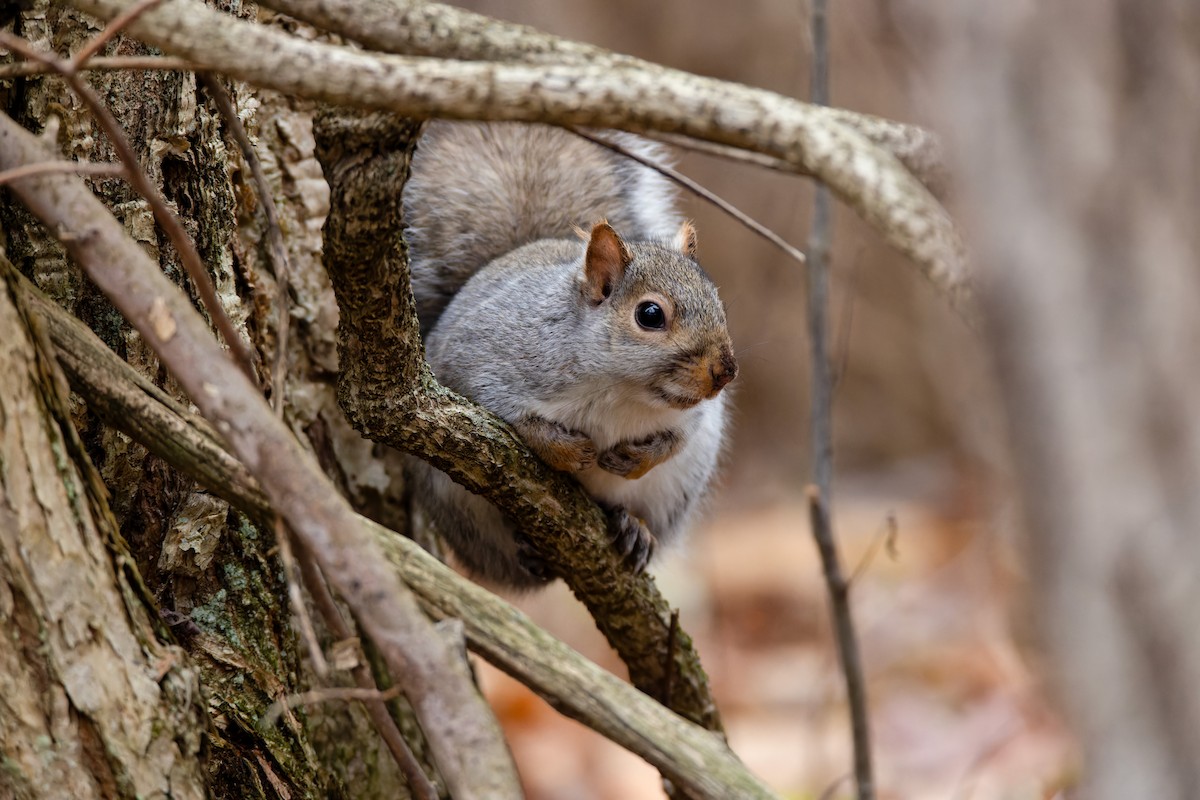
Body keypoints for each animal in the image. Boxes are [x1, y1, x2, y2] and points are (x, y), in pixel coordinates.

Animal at [404, 121, 738, 590]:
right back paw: (527, 552)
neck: (621, 392)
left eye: (717, 301)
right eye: (650, 314)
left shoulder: (694, 418)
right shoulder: (479, 361)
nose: (725, 371)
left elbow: (677, 439)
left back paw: (635, 530)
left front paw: (636, 459)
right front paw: (567, 451)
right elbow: (510, 417)